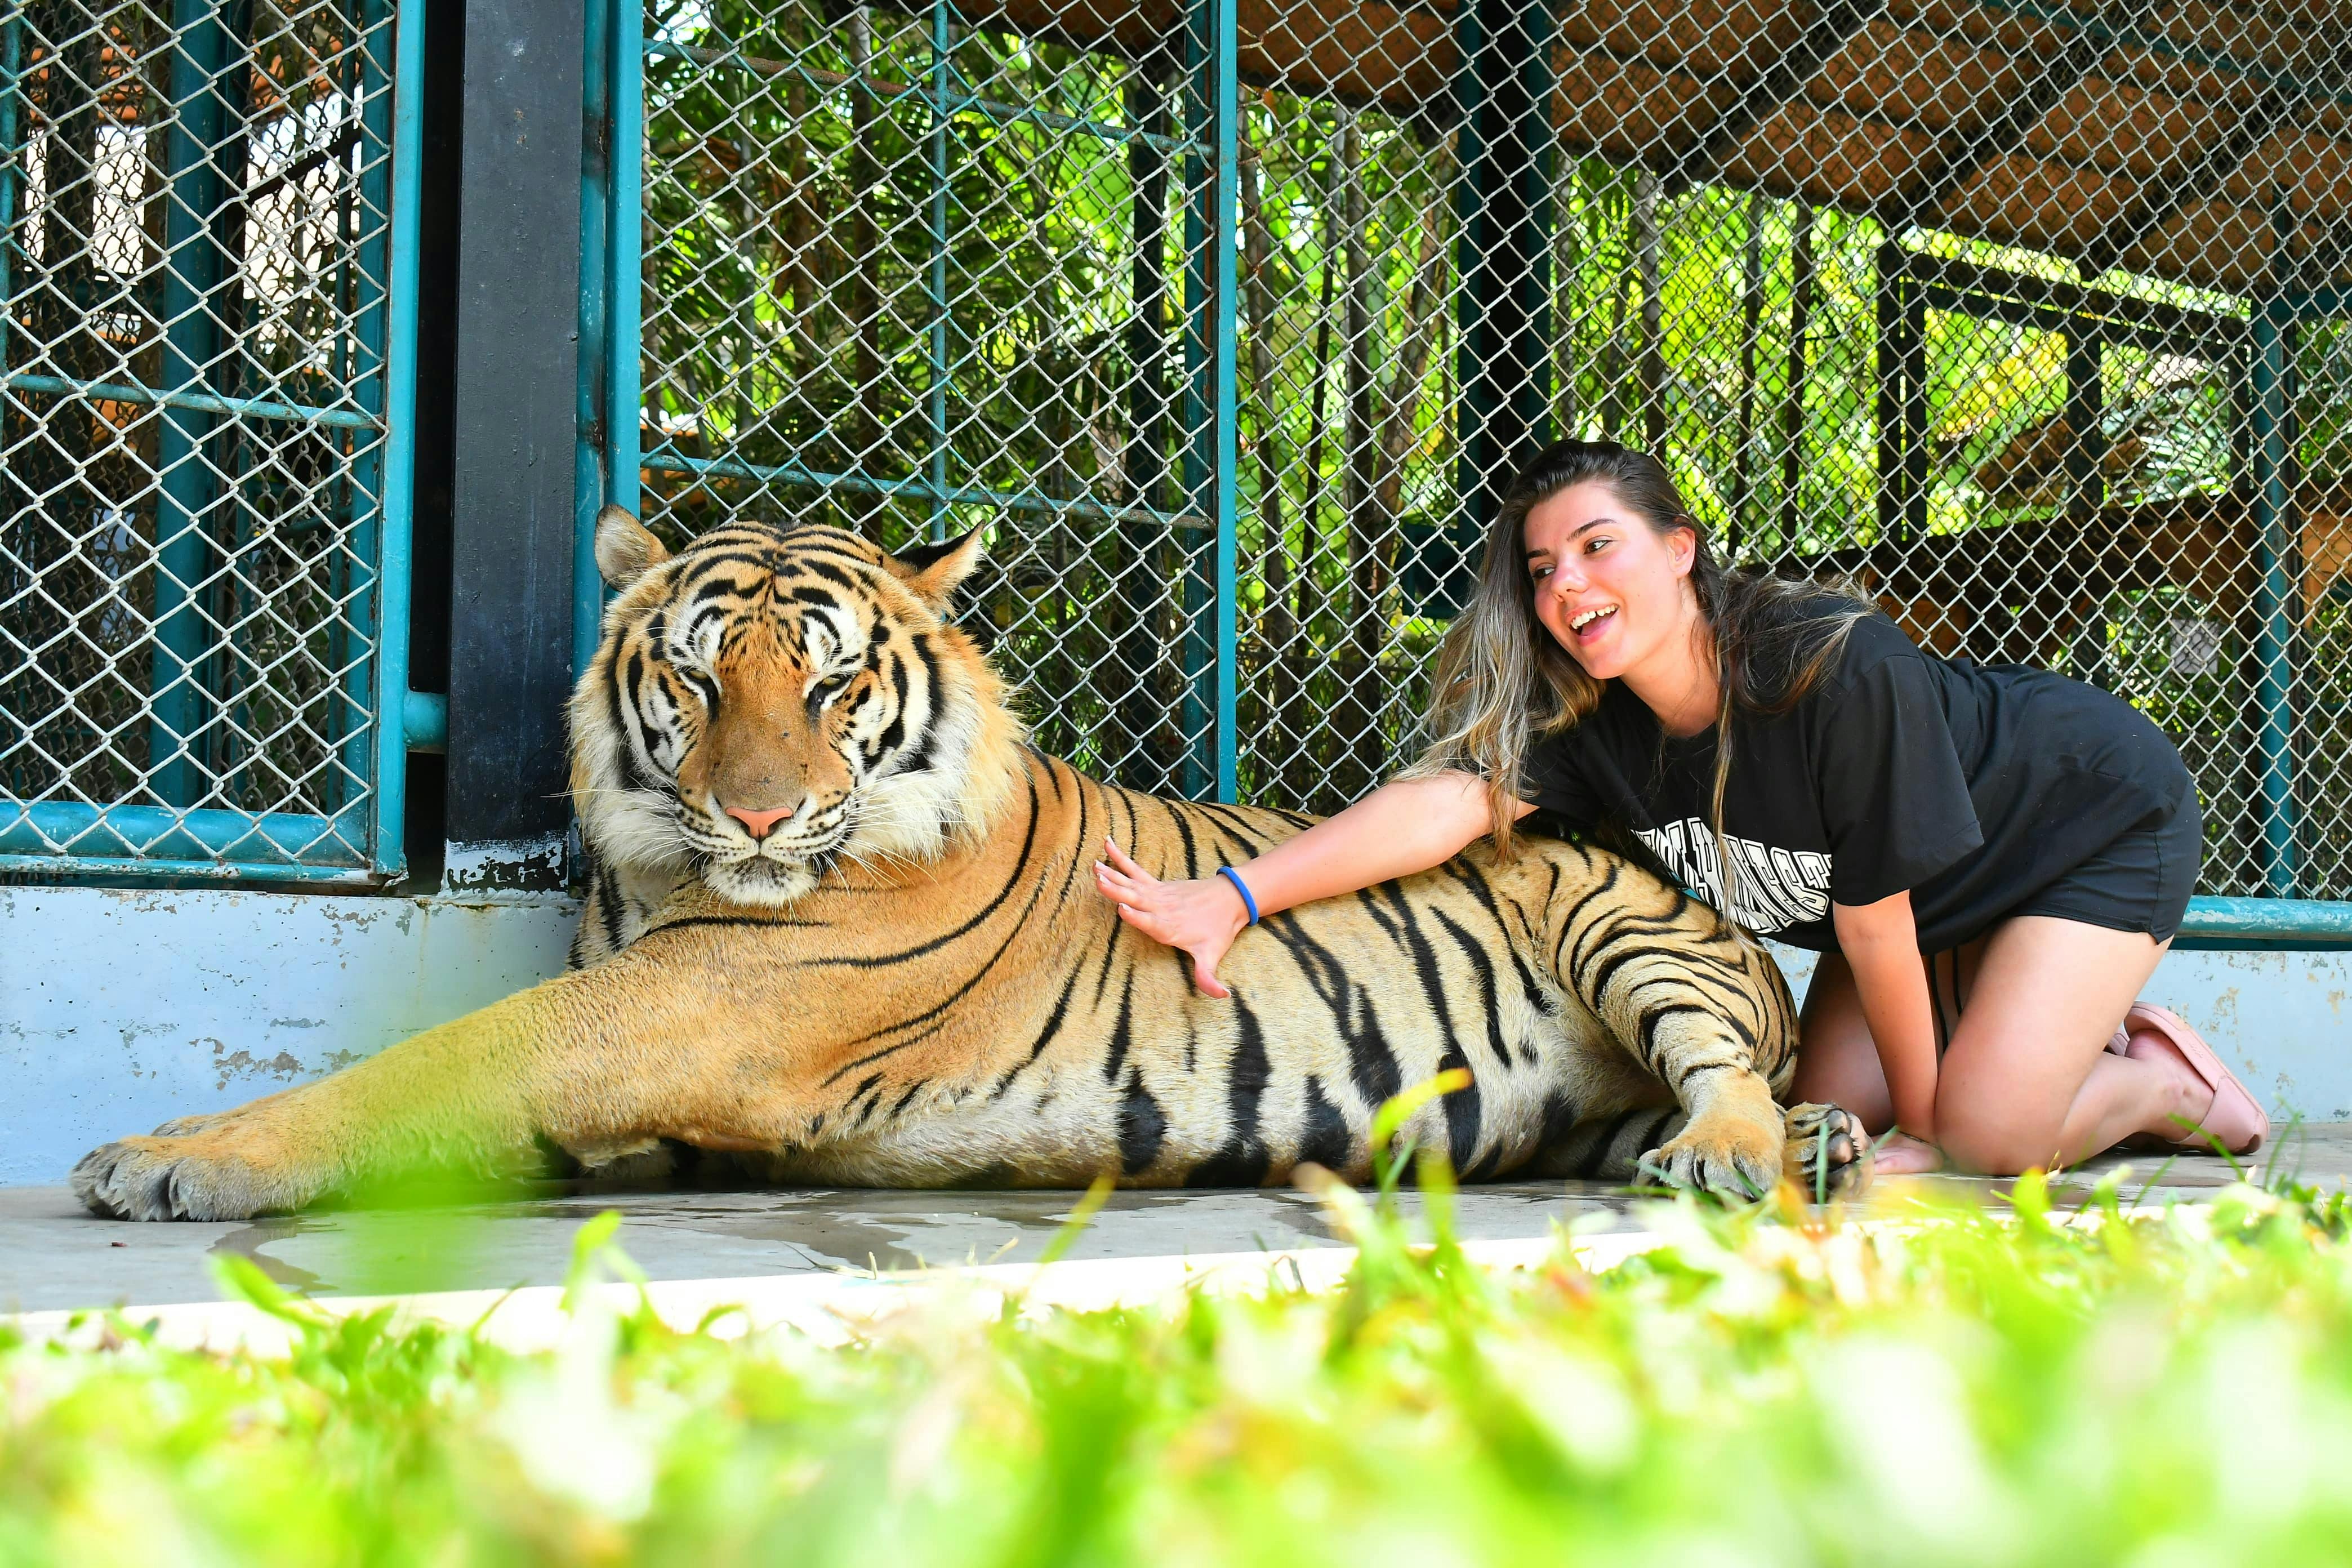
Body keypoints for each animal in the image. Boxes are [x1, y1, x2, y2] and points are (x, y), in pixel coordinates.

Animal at [71, 507, 1872, 1221]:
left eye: (827, 687)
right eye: (697, 680)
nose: (759, 818)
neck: (661, 877)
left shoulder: (690, 1006)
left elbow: (432, 1060)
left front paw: (167, 1156)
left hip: (1630, 936)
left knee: (1719, 1072)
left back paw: (1737, 1155)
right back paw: (1823, 1140)